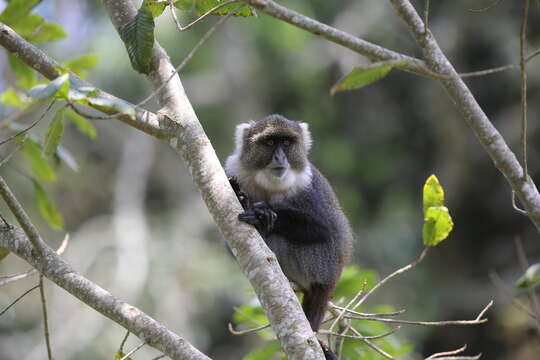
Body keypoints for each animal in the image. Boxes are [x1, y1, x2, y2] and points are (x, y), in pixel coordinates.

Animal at [226, 114, 352, 358]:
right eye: (268, 142)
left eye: (286, 142)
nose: (279, 156)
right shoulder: (234, 170)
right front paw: (243, 198)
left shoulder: (308, 185)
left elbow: (326, 229)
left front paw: (263, 213)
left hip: (314, 263)